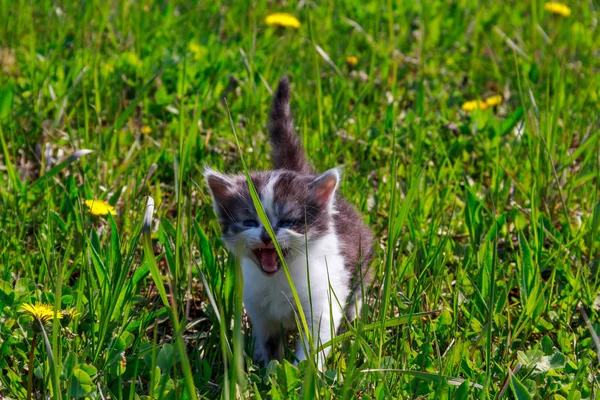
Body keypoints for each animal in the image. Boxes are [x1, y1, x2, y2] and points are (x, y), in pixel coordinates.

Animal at [207, 76, 376, 370]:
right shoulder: (259, 309)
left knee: (357, 292)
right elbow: (269, 341)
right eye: (250, 222)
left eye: (287, 221)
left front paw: (305, 372)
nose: (267, 236)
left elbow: (316, 341)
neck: (280, 279)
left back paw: (353, 318)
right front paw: (267, 369)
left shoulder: (322, 298)